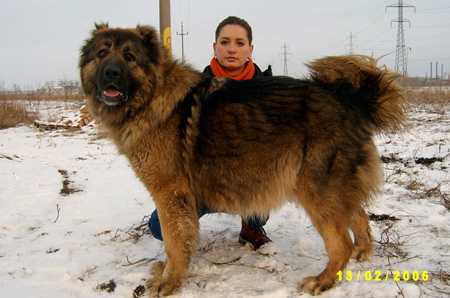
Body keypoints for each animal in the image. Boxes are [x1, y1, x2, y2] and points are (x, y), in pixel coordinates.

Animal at [79, 24, 406, 296]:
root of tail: (352, 101)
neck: (153, 95)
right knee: (359, 216)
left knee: (341, 244)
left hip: (316, 192)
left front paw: (169, 281)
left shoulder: (170, 194)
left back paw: (322, 280)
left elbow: (174, 243)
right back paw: (363, 254)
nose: (111, 73)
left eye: (130, 57)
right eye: (102, 53)